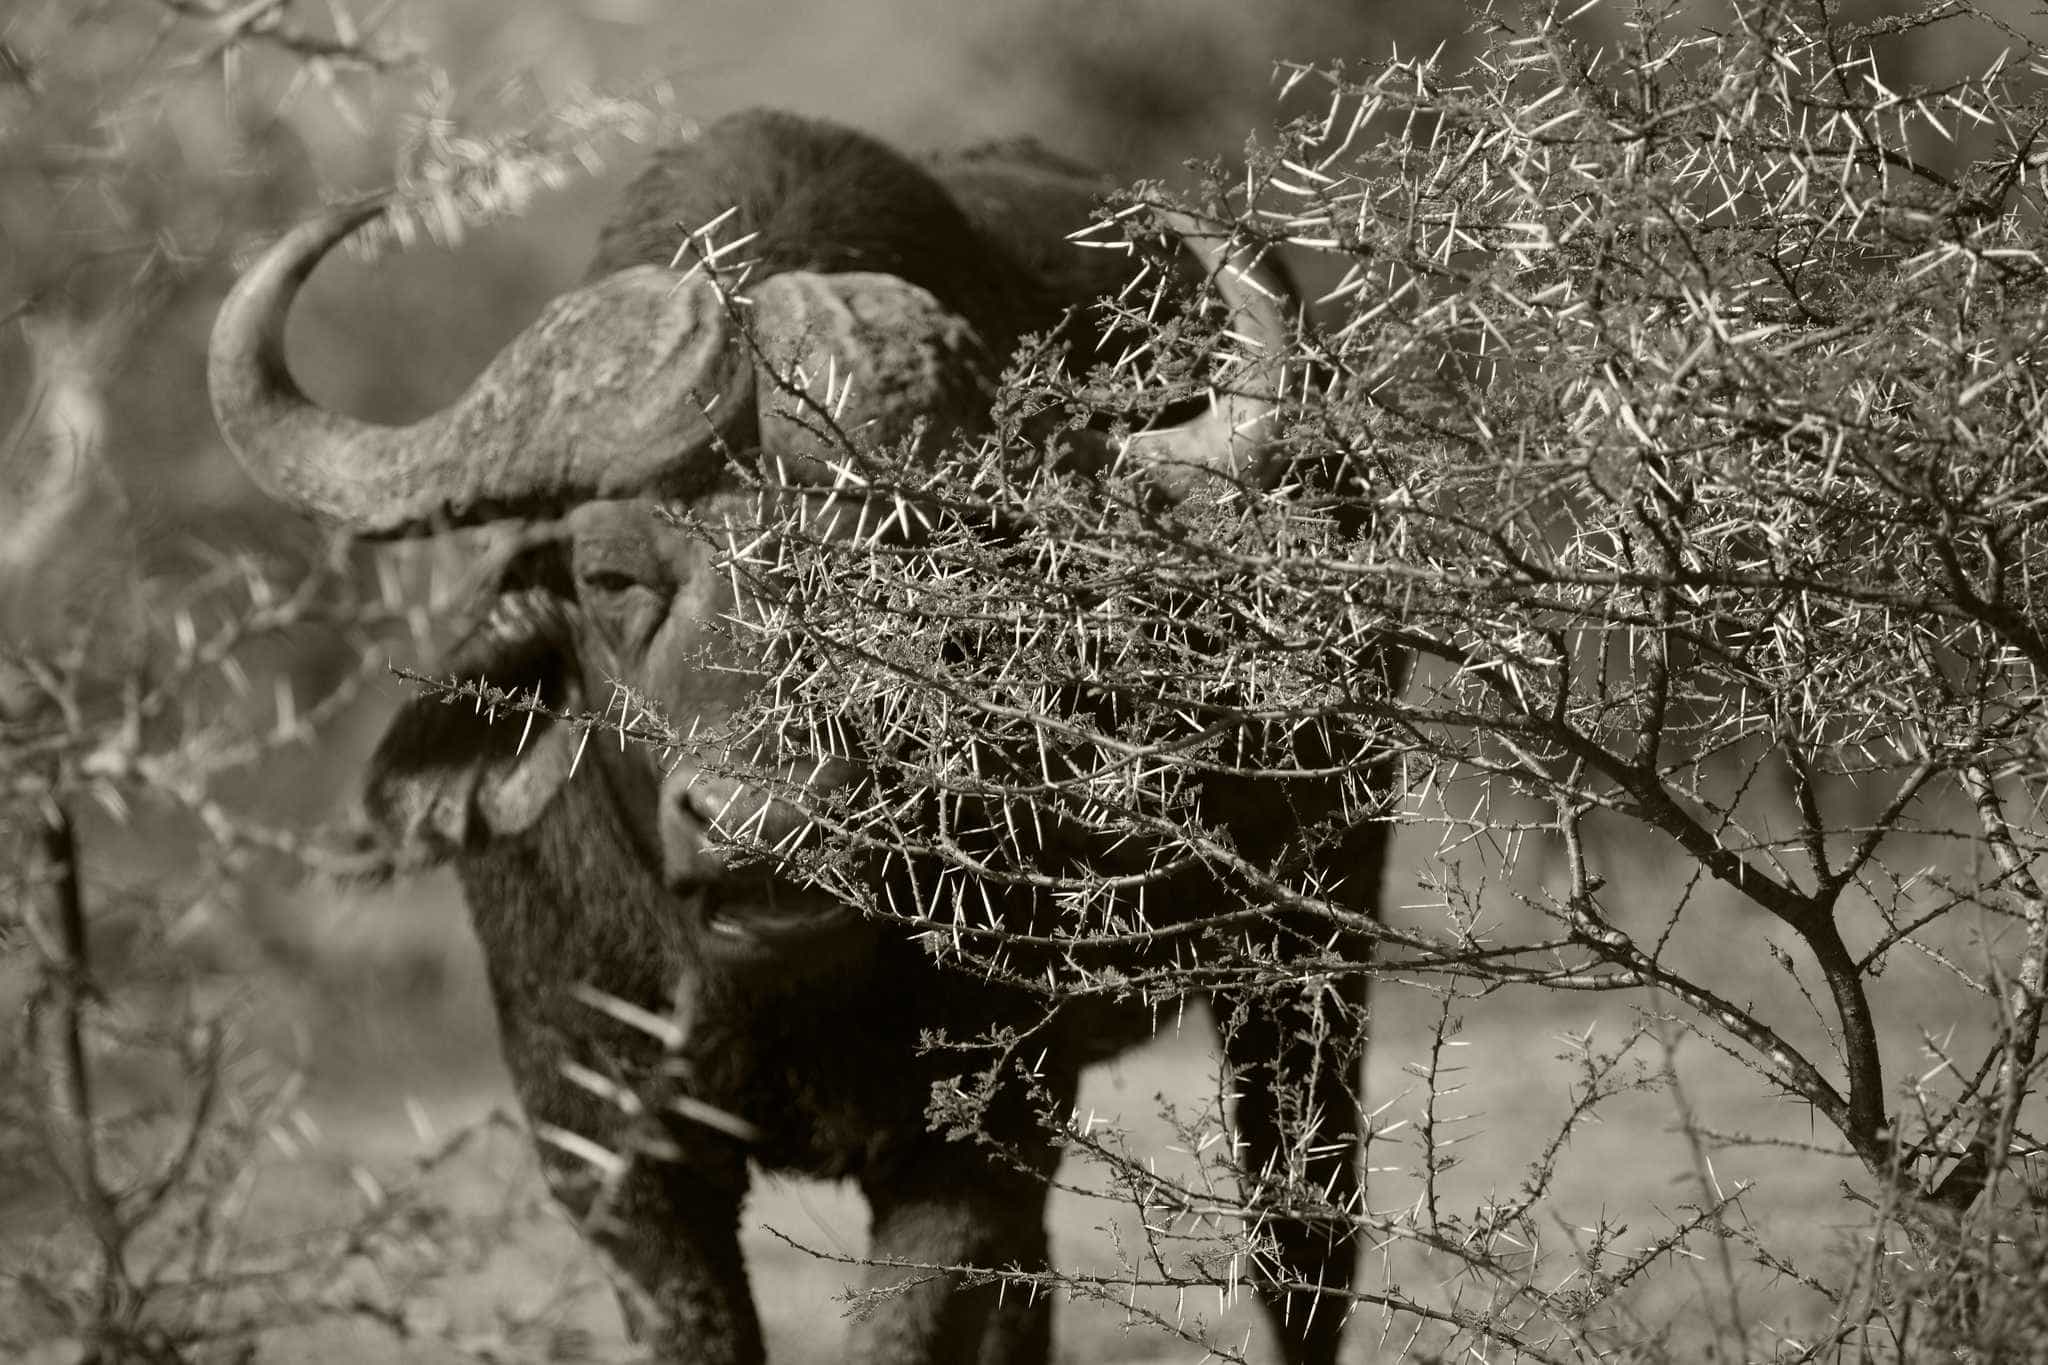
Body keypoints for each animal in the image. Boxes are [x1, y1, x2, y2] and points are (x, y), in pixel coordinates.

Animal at [208, 108, 1386, 1365]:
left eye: (906, 571)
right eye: (609, 575)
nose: (765, 825)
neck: (755, 987)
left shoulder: (971, 1133)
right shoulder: (609, 1155)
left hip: (1306, 966)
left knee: (1303, 1248)